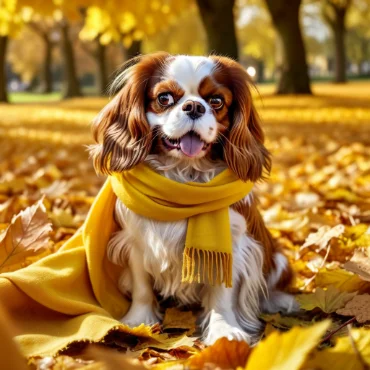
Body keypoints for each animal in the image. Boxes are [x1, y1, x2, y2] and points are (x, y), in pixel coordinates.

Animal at [90, 53, 298, 346]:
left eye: (217, 101)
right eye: (164, 98)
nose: (194, 107)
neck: (184, 177)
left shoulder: (232, 246)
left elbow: (221, 292)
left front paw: (224, 330)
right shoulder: (136, 240)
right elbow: (142, 285)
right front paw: (139, 320)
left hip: (278, 258)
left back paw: (279, 301)